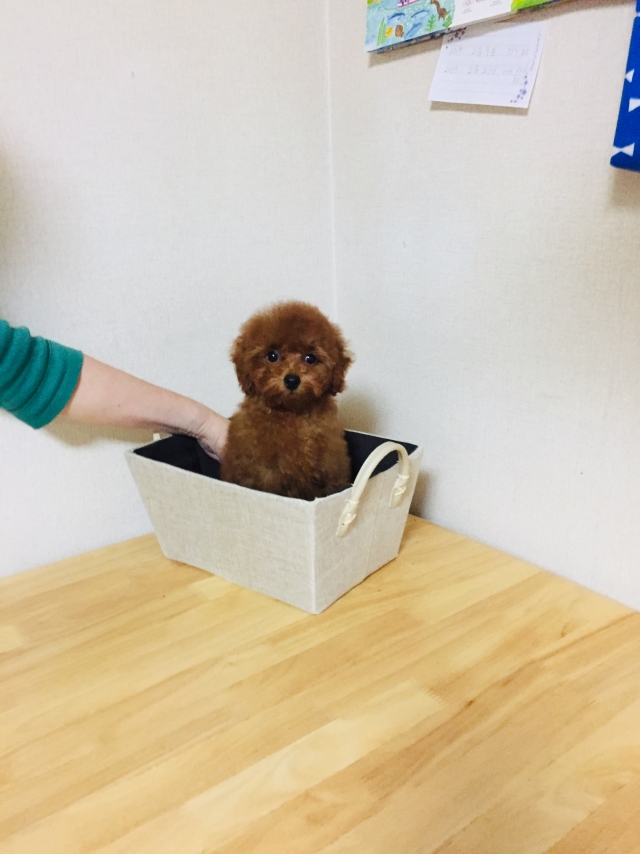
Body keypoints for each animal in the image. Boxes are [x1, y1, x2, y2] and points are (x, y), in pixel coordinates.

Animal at [220, 301, 353, 500]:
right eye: (272, 356)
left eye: (310, 358)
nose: (291, 380)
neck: (292, 414)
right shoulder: (264, 474)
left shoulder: (330, 467)